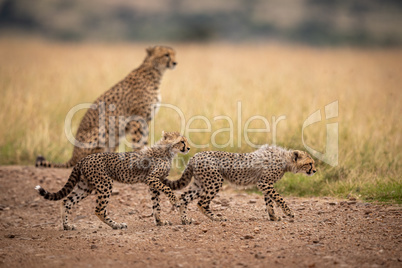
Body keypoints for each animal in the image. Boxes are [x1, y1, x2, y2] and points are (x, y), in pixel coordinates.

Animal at [35, 131, 190, 229]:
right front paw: (175, 202)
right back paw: (116, 225)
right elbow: (167, 189)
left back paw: (67, 225)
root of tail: (84, 158)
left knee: (66, 201)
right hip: (105, 184)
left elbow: (156, 205)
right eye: (181, 141)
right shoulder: (151, 179)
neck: (167, 150)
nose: (188, 148)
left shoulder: (153, 184)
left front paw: (160, 222)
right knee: (99, 210)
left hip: (85, 187)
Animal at [36, 45, 177, 168]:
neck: (155, 73)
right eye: (166, 55)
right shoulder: (138, 118)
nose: (175, 63)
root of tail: (73, 156)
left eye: (174, 54)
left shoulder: (145, 119)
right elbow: (139, 142)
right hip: (103, 128)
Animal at [162, 146, 316, 223]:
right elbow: (279, 198)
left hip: (200, 184)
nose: (314, 170)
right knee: (201, 203)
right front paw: (289, 212)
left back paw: (185, 219)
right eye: (309, 163)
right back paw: (217, 218)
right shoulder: (264, 183)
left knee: (183, 198)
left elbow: (270, 202)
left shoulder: (266, 185)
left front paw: (273, 217)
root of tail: (195, 156)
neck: (285, 160)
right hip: (214, 182)